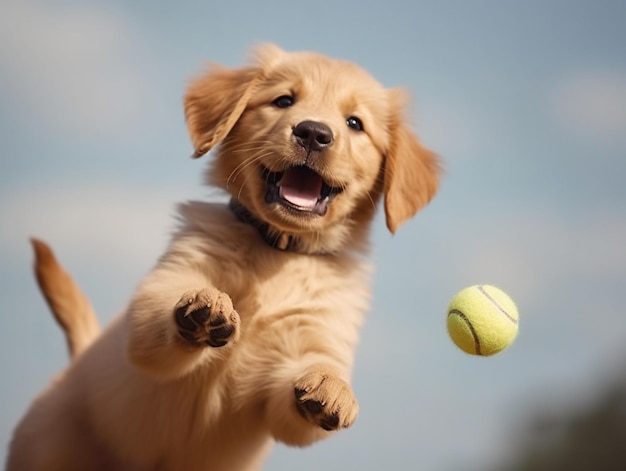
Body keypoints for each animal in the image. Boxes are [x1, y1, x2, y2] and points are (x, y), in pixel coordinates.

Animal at [6, 44, 438, 471]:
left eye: (354, 123)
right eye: (284, 101)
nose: (314, 133)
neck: (277, 250)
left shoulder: (308, 349)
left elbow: (311, 379)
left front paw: (333, 386)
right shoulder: (163, 290)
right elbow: (162, 314)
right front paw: (205, 305)